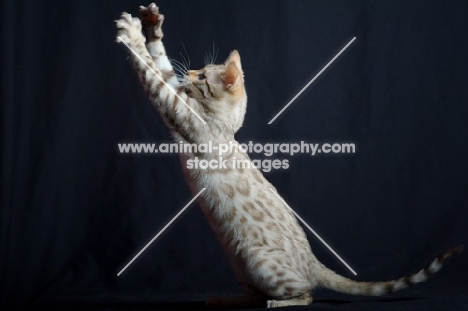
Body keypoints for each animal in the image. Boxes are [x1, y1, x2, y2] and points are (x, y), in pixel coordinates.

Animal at [115, 3, 462, 310]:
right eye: (199, 70)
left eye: (202, 78)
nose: (190, 71)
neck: (225, 125)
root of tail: (313, 262)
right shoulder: (178, 95)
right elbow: (160, 60)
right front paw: (151, 25)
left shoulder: (176, 107)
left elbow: (150, 69)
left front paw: (132, 33)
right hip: (242, 268)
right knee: (257, 295)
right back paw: (224, 300)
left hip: (260, 262)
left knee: (304, 293)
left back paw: (279, 303)